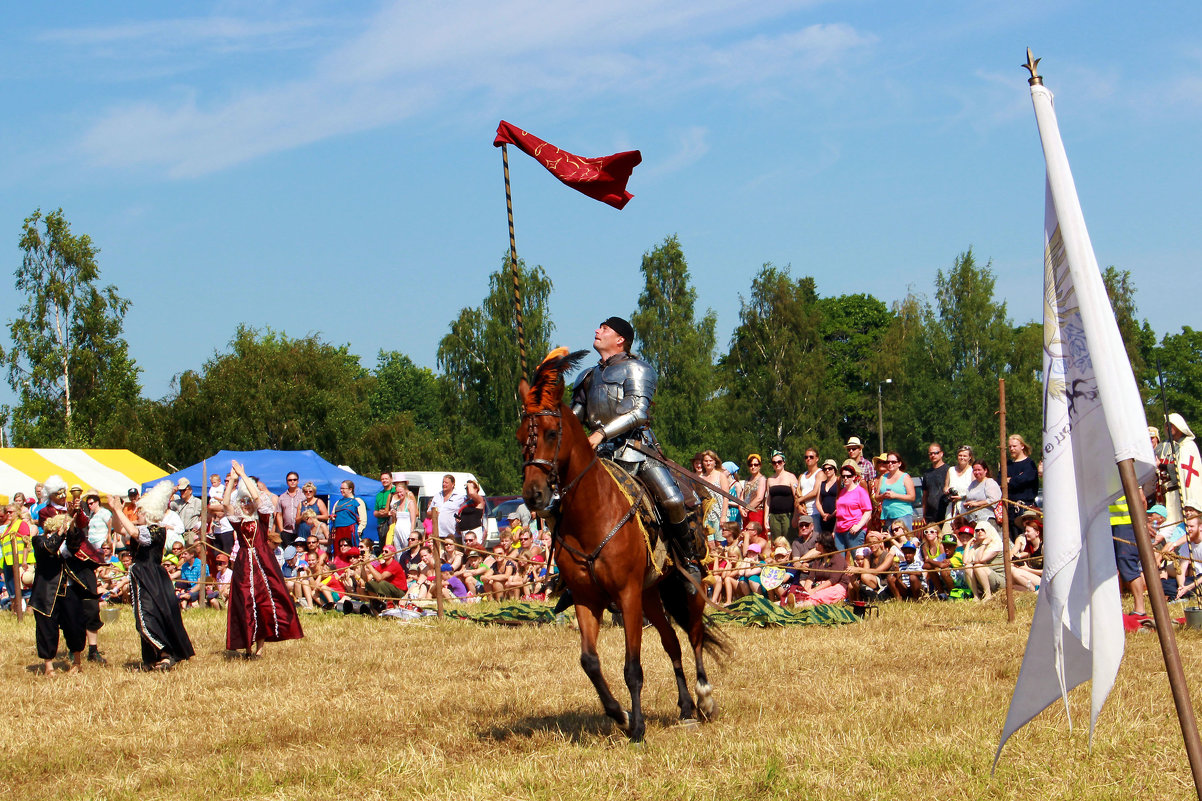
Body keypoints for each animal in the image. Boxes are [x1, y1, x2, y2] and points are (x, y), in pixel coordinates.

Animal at [514, 346, 721, 740]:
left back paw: (704, 697)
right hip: (651, 593)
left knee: (695, 635)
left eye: (551, 432)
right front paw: (620, 715)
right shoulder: (588, 598)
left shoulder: (626, 595)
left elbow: (632, 667)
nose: (534, 495)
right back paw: (686, 708)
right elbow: (590, 662)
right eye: (520, 437)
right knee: (672, 643)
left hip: (683, 584)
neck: (592, 515)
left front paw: (636, 727)